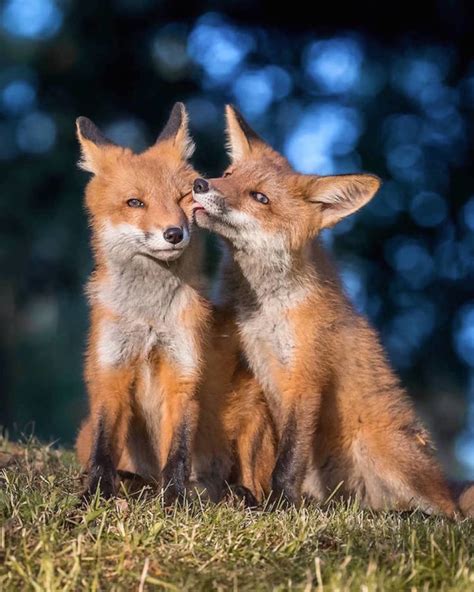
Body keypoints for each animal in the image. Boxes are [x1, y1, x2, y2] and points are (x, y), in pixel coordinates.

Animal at [73, 102, 274, 504]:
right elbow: (103, 448)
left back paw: (238, 495)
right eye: (135, 203)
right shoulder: (111, 370)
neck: (150, 319)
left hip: (253, 410)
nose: (173, 233)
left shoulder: (182, 370)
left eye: (183, 197)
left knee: (254, 486)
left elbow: (178, 450)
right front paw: (96, 495)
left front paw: (174, 500)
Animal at [191, 104, 462, 516]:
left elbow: (288, 460)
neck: (267, 310)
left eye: (260, 198)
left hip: (378, 449)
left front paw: (278, 505)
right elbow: (262, 451)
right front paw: (253, 496)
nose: (200, 184)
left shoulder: (305, 377)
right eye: (228, 175)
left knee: (448, 514)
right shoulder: (256, 370)